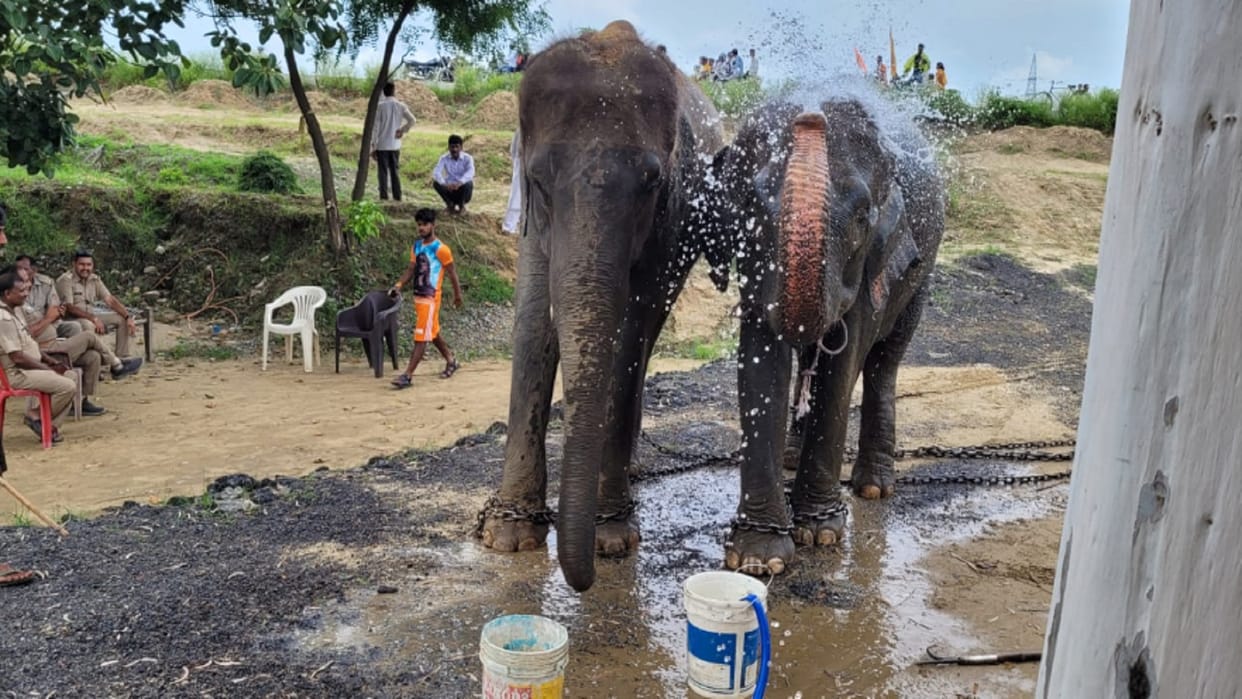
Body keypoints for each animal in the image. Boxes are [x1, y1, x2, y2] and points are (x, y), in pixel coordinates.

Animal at [477, 20, 725, 592]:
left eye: (653, 181)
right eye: (539, 179)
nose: (583, 581)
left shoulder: (672, 220)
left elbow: (630, 330)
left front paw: (612, 538)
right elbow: (532, 319)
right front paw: (507, 537)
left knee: (646, 337)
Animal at [703, 98, 944, 574]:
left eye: (863, 217)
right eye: (751, 204)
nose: (811, 117)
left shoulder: (874, 259)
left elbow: (844, 362)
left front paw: (820, 534)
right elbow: (762, 357)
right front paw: (759, 558)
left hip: (921, 274)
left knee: (886, 361)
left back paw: (874, 487)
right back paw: (792, 456)